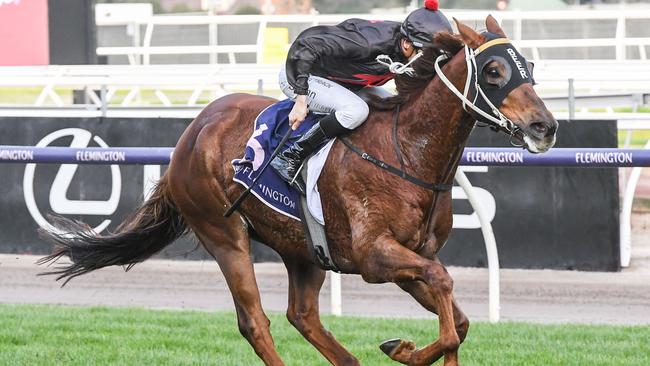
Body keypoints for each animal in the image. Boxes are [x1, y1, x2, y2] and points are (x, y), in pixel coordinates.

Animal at [40, 17, 556, 366]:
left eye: (527, 65)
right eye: (494, 70)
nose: (545, 127)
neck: (407, 151)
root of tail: (190, 133)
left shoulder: (412, 256)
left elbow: (458, 319)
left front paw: (402, 346)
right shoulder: (375, 257)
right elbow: (446, 293)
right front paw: (402, 346)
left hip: (303, 248)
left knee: (302, 315)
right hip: (224, 234)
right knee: (256, 322)